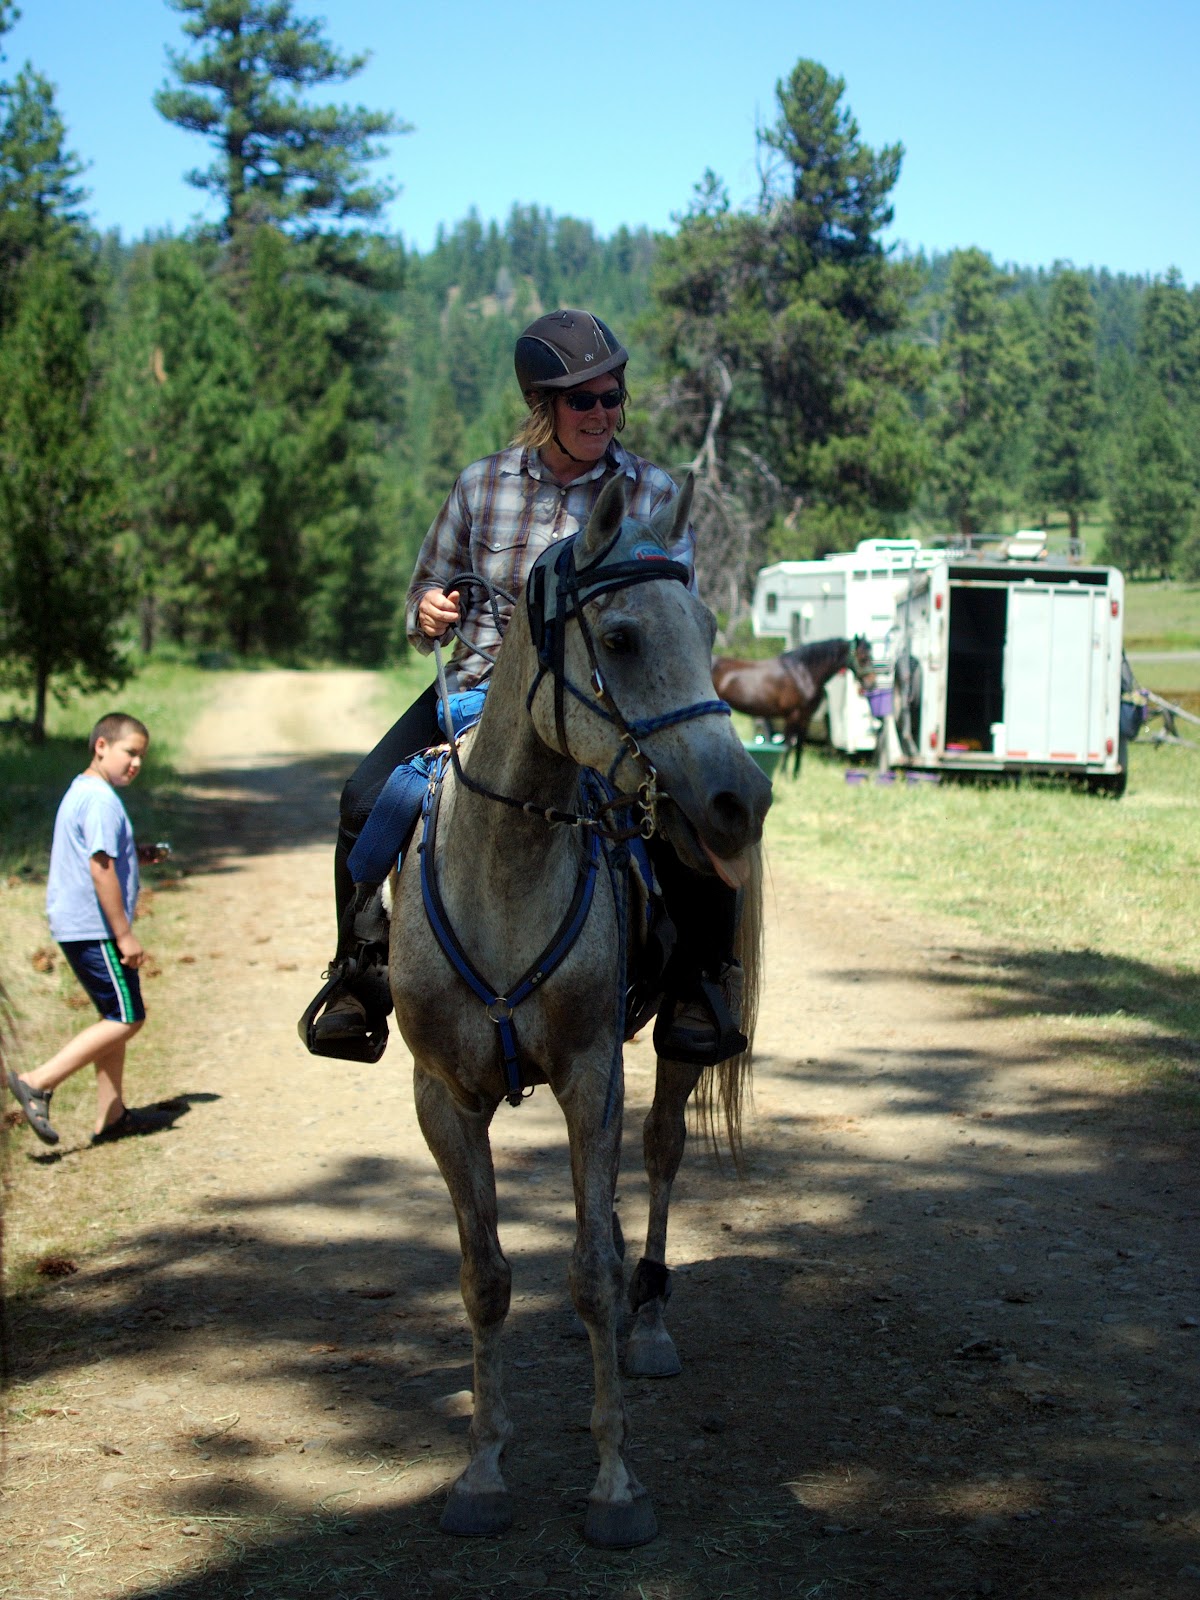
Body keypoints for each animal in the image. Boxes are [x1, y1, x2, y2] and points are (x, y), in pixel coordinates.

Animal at [386, 474, 772, 1549]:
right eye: (626, 637)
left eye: (709, 626)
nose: (743, 797)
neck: (505, 871)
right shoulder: (443, 1099)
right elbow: (484, 1278)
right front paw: (481, 1470)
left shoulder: (592, 1075)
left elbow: (593, 1271)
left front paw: (614, 1482)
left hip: (677, 1040)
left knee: (660, 1158)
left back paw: (652, 1325)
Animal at [711, 636, 877, 776]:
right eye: (863, 657)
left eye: (871, 656)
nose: (872, 684)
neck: (803, 673)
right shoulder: (792, 715)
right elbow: (788, 745)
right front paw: (784, 773)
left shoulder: (805, 717)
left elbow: (799, 745)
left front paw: (796, 775)